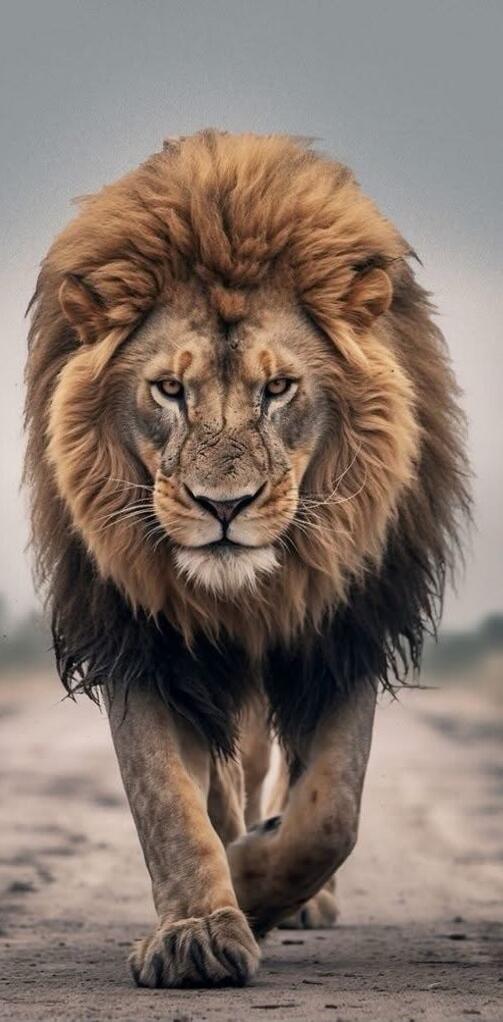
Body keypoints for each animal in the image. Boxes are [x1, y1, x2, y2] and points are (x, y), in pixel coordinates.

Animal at [24, 130, 470, 988]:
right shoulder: (140, 636)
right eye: (168, 389)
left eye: (279, 387)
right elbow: (165, 798)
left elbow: (329, 812)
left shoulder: (344, 628)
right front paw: (197, 928)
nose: (222, 506)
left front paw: (255, 882)